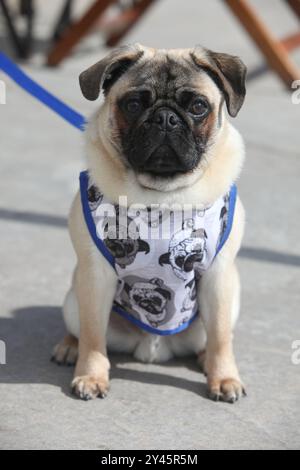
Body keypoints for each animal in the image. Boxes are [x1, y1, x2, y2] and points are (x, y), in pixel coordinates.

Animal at [52, 44, 246, 402]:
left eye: (198, 107)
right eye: (133, 104)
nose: (165, 118)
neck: (162, 197)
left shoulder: (219, 278)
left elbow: (221, 337)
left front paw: (224, 377)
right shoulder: (95, 278)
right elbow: (93, 336)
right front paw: (91, 375)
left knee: (212, 337)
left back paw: (205, 359)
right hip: (73, 298)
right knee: (82, 330)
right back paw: (69, 348)